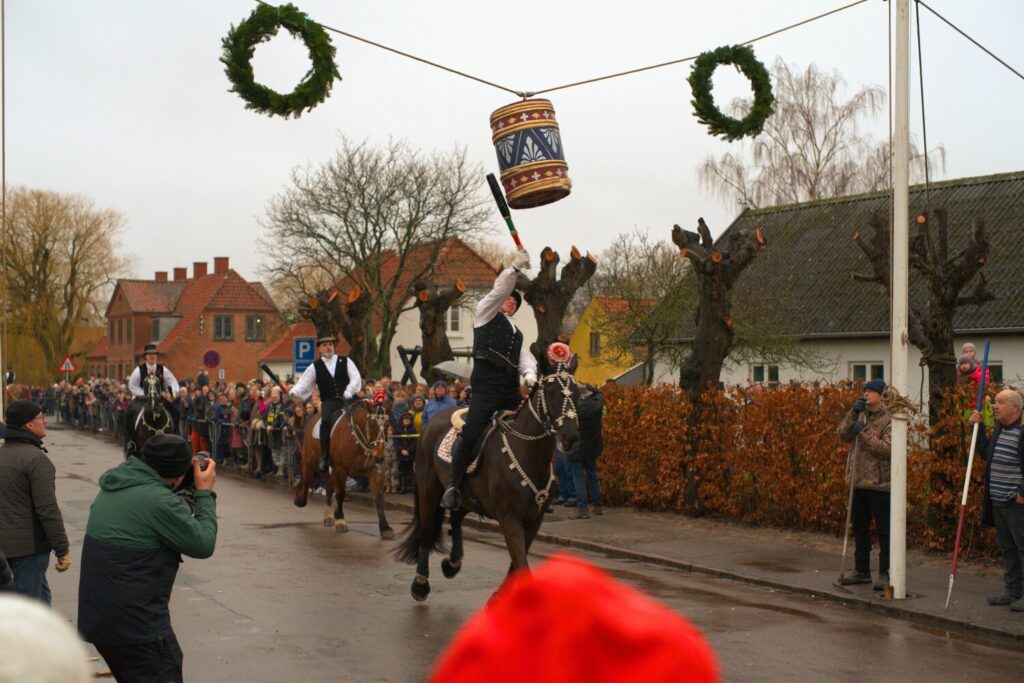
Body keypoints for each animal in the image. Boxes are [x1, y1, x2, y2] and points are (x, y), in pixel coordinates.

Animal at [296, 395, 395, 540]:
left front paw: (385, 527)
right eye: (371, 425)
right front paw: (340, 520)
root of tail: (312, 418)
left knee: (329, 487)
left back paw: (328, 515)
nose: (380, 457)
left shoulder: (376, 471)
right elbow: (341, 494)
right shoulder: (341, 469)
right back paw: (300, 499)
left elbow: (379, 498)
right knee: (306, 479)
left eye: (387, 425)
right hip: (310, 461)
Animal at [393, 360, 581, 602]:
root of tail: (432, 422)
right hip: (429, 492)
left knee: (455, 519)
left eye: (577, 392)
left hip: (466, 498)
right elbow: (521, 563)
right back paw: (420, 584)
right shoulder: (509, 518)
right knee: (427, 532)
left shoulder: (534, 519)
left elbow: (517, 564)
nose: (571, 438)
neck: (527, 452)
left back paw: (452, 564)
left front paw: (501, 596)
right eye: (549, 392)